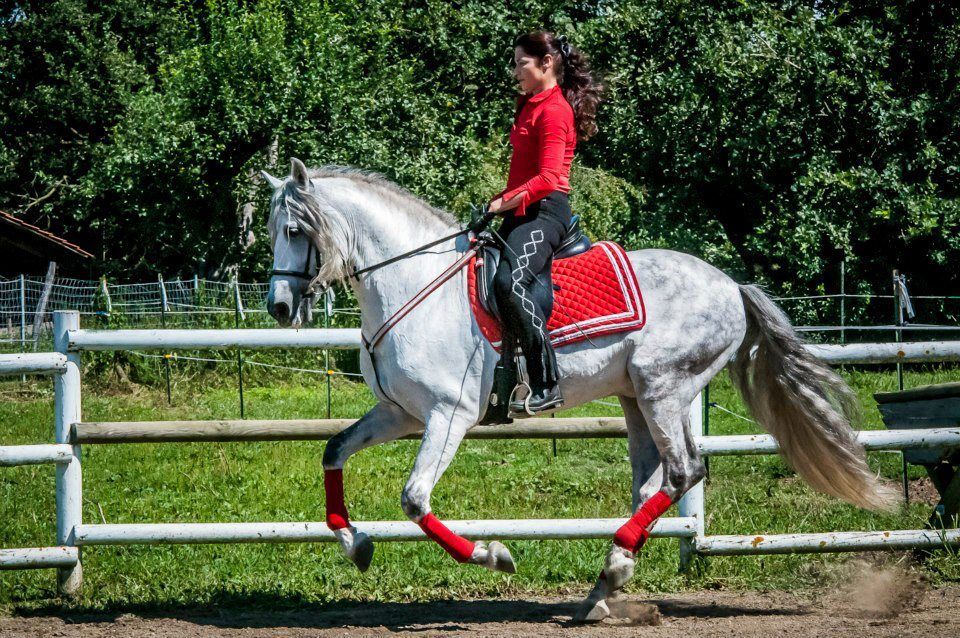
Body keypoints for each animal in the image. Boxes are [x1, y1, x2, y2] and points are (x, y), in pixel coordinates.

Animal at [262, 158, 893, 621]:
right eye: (267, 231)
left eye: (295, 230)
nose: (280, 307)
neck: (415, 283)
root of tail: (733, 287)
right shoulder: (400, 413)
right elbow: (333, 451)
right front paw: (357, 545)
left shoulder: (448, 416)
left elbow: (415, 500)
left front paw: (495, 555)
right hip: (637, 400)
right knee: (652, 485)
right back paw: (605, 585)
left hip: (663, 389)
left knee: (686, 471)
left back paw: (609, 576)